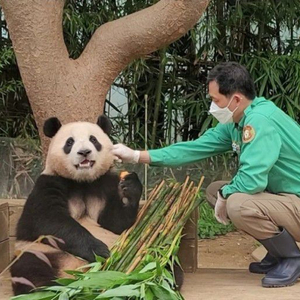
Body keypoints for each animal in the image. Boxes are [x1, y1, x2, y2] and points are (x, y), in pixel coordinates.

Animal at [9, 115, 144, 296]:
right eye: (69, 142)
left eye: (93, 140)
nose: (84, 152)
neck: (82, 181)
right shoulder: (49, 183)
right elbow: (48, 221)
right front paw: (98, 250)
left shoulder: (104, 183)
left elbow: (115, 222)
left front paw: (129, 188)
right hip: (38, 250)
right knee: (31, 270)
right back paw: (48, 291)